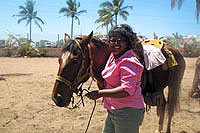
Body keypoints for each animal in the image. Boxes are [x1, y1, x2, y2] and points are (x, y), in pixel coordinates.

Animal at [51, 32, 186, 133]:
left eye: (75, 60)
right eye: (59, 60)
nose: (57, 97)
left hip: (174, 85)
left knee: (169, 108)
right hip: (159, 88)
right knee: (162, 105)